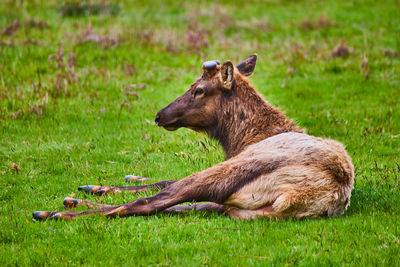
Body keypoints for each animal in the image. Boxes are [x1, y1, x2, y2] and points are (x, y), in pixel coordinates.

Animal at [32, 55, 354, 222]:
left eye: (198, 89)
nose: (159, 115)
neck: (241, 138)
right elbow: (163, 183)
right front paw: (103, 185)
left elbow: (161, 184)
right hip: (241, 208)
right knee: (174, 203)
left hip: (236, 171)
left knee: (152, 202)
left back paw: (52, 213)